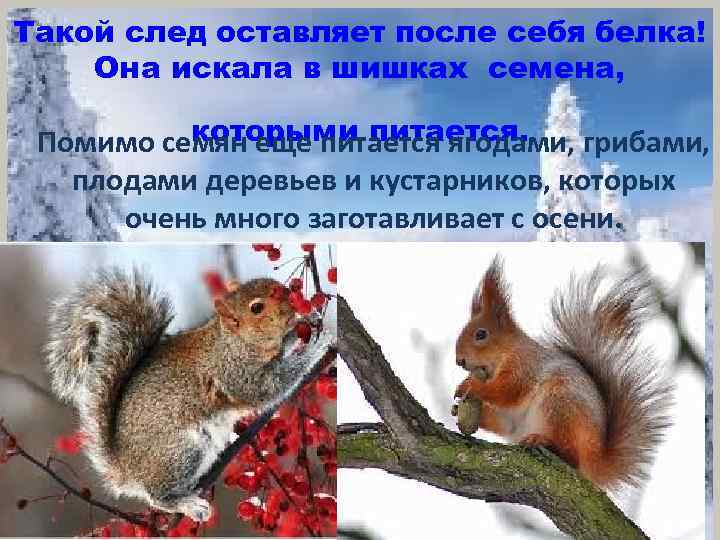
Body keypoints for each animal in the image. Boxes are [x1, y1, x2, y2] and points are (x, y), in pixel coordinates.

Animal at [46, 268, 327, 522]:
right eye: (256, 308)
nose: (293, 303)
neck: (233, 340)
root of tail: (126, 469)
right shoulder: (236, 374)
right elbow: (272, 386)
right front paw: (319, 345)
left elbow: (285, 348)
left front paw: (307, 320)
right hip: (182, 451)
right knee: (157, 496)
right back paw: (188, 505)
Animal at [452, 256, 673, 491]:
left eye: (481, 334)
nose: (459, 361)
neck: (506, 351)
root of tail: (594, 457)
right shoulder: (510, 415)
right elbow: (503, 417)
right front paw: (461, 408)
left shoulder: (525, 366)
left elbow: (509, 390)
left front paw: (468, 386)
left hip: (560, 403)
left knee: (571, 456)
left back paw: (545, 442)